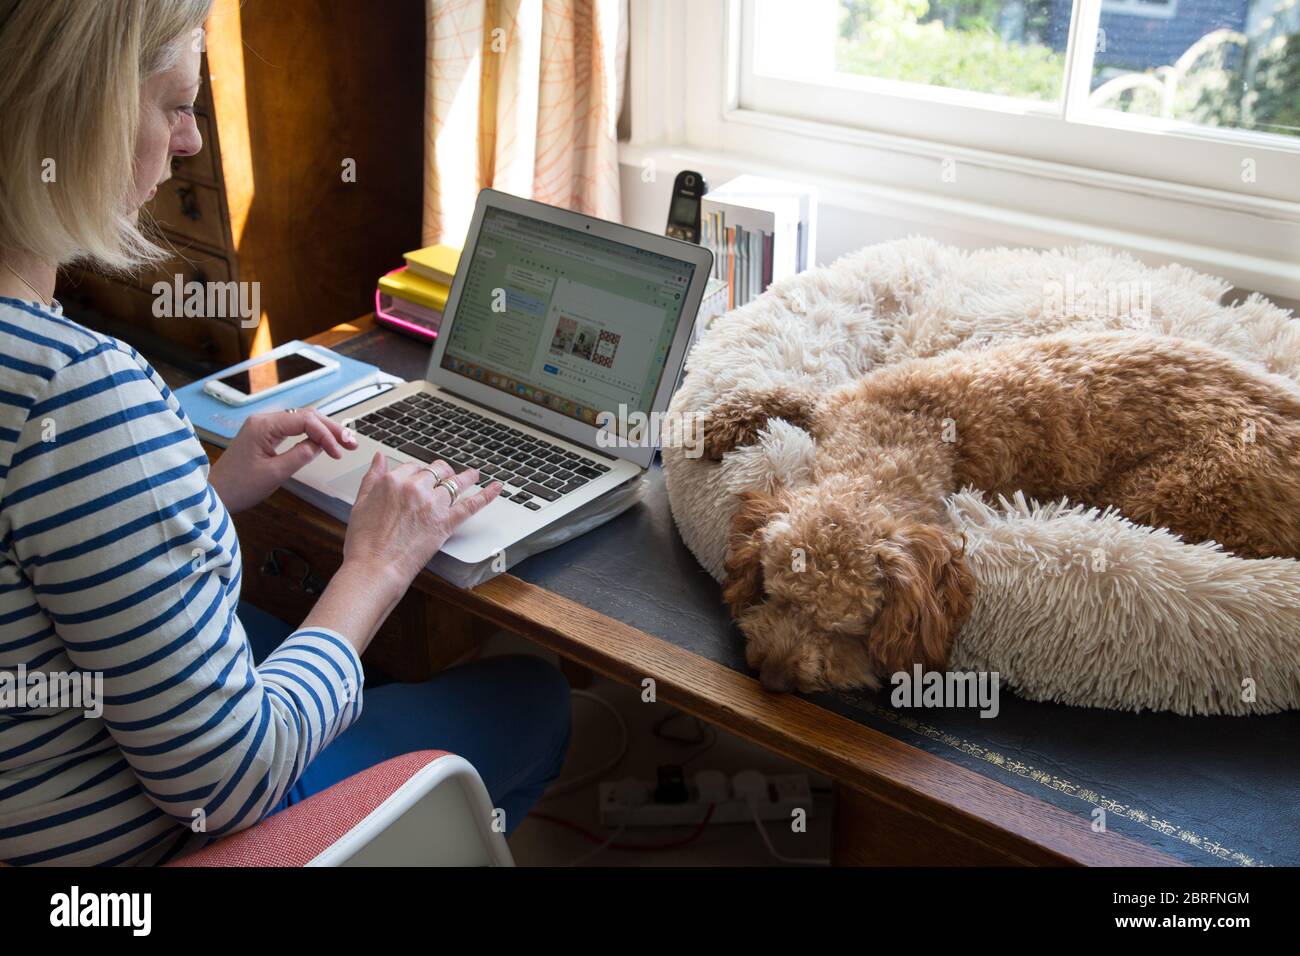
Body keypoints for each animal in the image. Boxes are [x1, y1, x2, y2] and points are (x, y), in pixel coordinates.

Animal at [707, 332, 1300, 691]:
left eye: (843, 629)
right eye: (775, 596)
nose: (771, 676)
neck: (895, 437)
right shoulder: (841, 405)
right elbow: (796, 396)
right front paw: (719, 421)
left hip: (1173, 492)